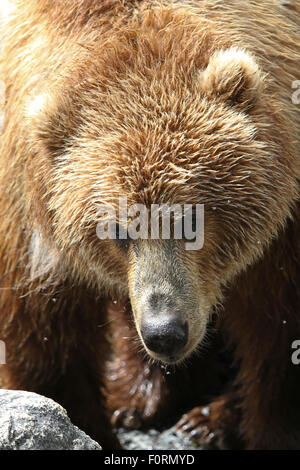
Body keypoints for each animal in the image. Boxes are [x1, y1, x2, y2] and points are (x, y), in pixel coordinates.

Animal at [0, 0, 300, 448]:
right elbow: (44, 336)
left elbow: (279, 330)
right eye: (116, 229)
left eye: (192, 217)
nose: (165, 331)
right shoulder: (26, 199)